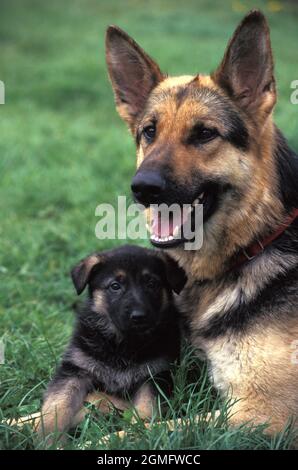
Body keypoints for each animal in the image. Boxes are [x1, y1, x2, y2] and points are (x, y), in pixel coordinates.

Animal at [37, 244, 186, 438]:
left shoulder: (155, 375)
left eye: (151, 284)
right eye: (115, 286)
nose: (139, 317)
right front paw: (49, 435)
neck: (121, 344)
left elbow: (146, 407)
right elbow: (58, 403)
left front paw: (138, 432)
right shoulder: (75, 369)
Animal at [105, 11, 298, 436]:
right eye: (149, 132)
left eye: (205, 134)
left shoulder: (261, 413)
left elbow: (131, 433)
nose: (143, 188)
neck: (254, 244)